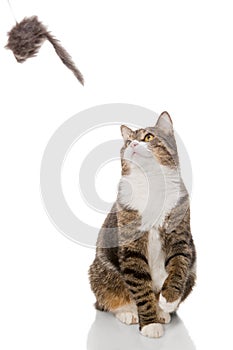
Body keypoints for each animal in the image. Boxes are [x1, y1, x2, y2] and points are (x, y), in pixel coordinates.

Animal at [89, 110, 197, 338]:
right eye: (128, 140)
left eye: (148, 137)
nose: (132, 144)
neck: (152, 184)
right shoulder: (131, 247)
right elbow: (140, 286)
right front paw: (149, 323)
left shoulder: (180, 237)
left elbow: (179, 266)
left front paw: (169, 299)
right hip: (102, 270)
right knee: (112, 297)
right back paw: (129, 313)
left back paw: (162, 311)